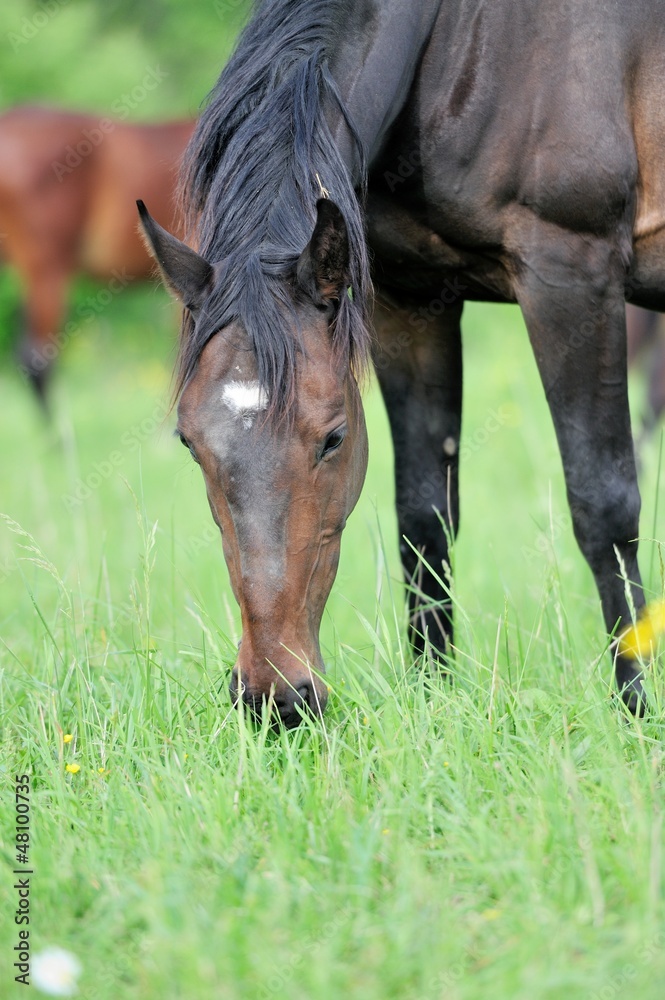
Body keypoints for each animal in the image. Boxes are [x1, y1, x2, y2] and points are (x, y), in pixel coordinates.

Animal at [139, 0, 664, 724]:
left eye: (332, 438)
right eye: (190, 443)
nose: (275, 696)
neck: (456, 40)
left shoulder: (571, 273)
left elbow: (603, 505)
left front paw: (636, 707)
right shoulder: (406, 300)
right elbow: (424, 513)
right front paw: (434, 695)